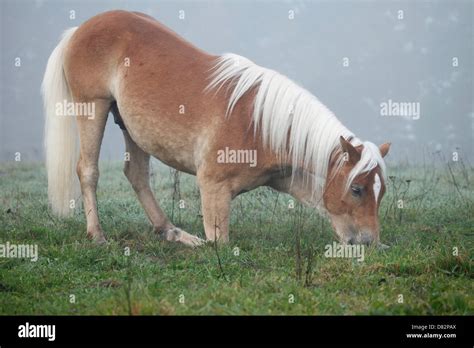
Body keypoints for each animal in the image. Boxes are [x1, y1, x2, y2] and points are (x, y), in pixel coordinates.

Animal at [41, 10, 388, 247]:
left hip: (130, 127)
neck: (258, 122)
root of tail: (80, 28)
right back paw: (98, 235)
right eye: (357, 189)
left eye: (380, 192)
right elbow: (218, 242)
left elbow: (320, 200)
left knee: (137, 175)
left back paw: (172, 232)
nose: (368, 241)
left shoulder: (284, 178)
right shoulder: (214, 189)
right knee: (88, 171)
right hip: (92, 107)